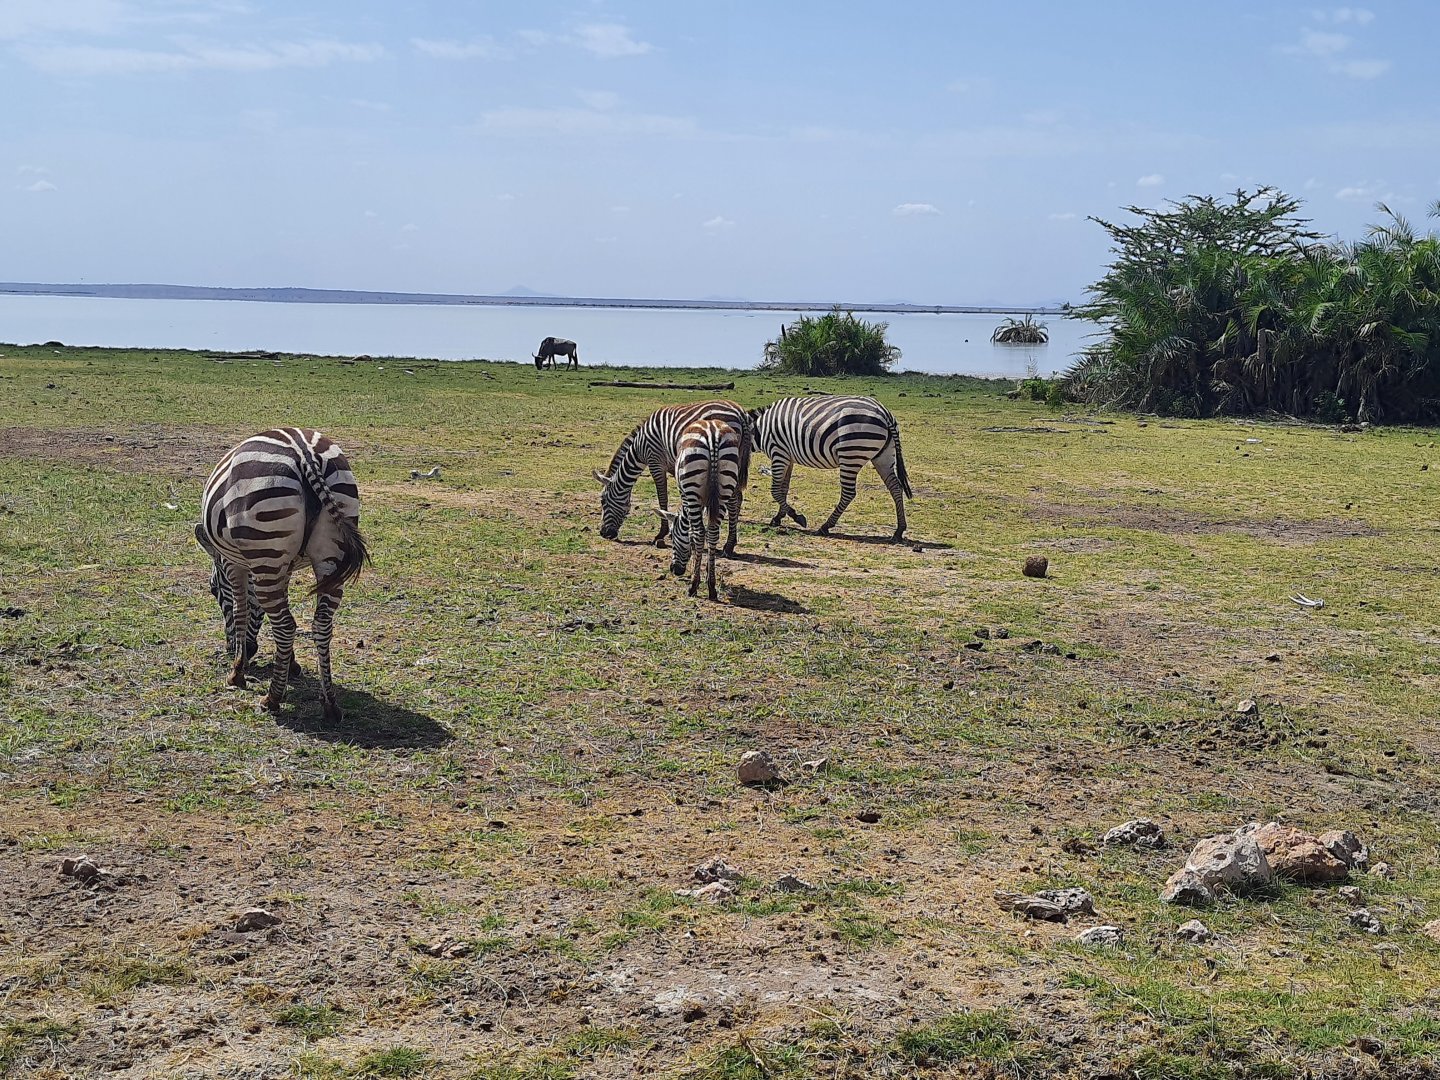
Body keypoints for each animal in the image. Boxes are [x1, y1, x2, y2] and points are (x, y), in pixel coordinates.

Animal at [194, 428, 369, 722]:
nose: (231, 649)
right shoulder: (284, 567)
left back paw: (272, 699)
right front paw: (292, 665)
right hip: (329, 557)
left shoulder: (233, 564)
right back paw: (330, 704)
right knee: (320, 624)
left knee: (286, 625)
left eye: (213, 590)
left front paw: (237, 672)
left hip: (267, 542)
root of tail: (306, 454)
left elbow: (241, 611)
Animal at [593, 400, 751, 552]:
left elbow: (663, 498)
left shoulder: (655, 462)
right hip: (733, 465)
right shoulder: (677, 466)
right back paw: (731, 543)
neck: (639, 447)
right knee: (737, 498)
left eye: (603, 501)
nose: (604, 534)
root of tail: (740, 413)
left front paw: (662, 534)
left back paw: (728, 546)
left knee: (732, 501)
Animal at [656, 419, 744, 600]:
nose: (675, 570)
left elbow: (693, 534)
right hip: (725, 487)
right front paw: (709, 573)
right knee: (713, 532)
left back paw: (694, 585)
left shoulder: (686, 497)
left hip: (692, 487)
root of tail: (713, 433)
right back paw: (712, 587)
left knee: (699, 532)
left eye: (671, 536)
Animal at [748, 395, 913, 541]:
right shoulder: (788, 458)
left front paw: (797, 517)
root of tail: (885, 413)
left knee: (848, 493)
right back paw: (899, 531)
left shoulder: (779, 453)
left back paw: (825, 527)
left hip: (851, 454)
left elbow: (775, 491)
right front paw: (778, 517)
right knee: (895, 487)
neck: (759, 430)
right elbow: (784, 489)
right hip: (883, 456)